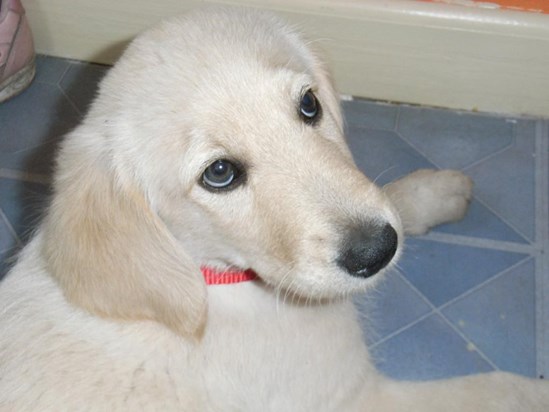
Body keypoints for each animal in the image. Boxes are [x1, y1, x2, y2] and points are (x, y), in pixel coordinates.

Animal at [1, 6, 548, 412]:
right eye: (220, 174)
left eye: (309, 105)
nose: (375, 251)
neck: (212, 280)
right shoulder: (357, 398)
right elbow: (499, 385)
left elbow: (391, 197)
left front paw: (433, 192)